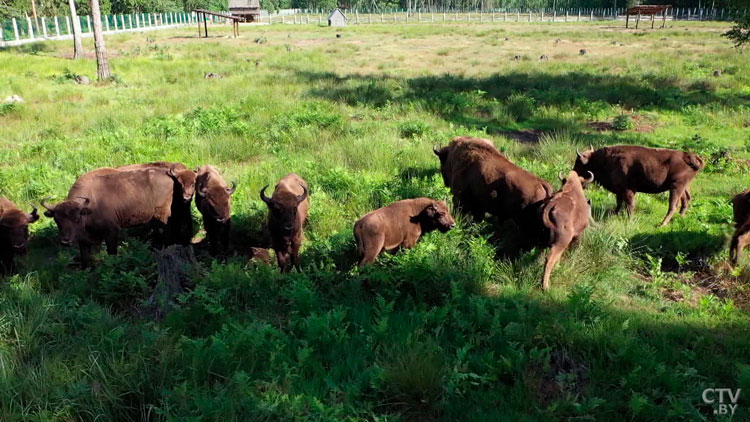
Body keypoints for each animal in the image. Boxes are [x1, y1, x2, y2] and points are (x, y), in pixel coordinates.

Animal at [41, 167, 176, 268]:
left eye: (76, 219)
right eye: (57, 220)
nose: (65, 241)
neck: (89, 209)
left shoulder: (111, 232)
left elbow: (111, 252)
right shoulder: (83, 240)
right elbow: (85, 258)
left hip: (162, 214)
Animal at [576, 145, 704, 226]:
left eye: (579, 163)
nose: (574, 175)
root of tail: (689, 156)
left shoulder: (628, 190)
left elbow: (629, 205)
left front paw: (629, 220)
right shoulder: (619, 190)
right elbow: (619, 203)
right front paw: (614, 213)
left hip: (676, 187)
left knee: (673, 205)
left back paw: (662, 224)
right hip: (683, 186)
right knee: (686, 199)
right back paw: (679, 218)